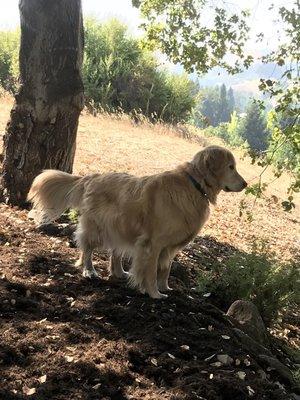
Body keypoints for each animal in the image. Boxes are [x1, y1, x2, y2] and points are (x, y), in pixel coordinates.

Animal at [27, 145, 246, 298]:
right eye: (231, 167)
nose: (245, 184)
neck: (195, 185)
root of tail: (93, 177)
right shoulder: (154, 243)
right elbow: (150, 271)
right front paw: (154, 293)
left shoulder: (168, 246)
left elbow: (165, 269)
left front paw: (166, 287)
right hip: (99, 227)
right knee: (87, 248)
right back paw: (89, 270)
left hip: (121, 226)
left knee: (115, 252)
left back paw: (120, 272)